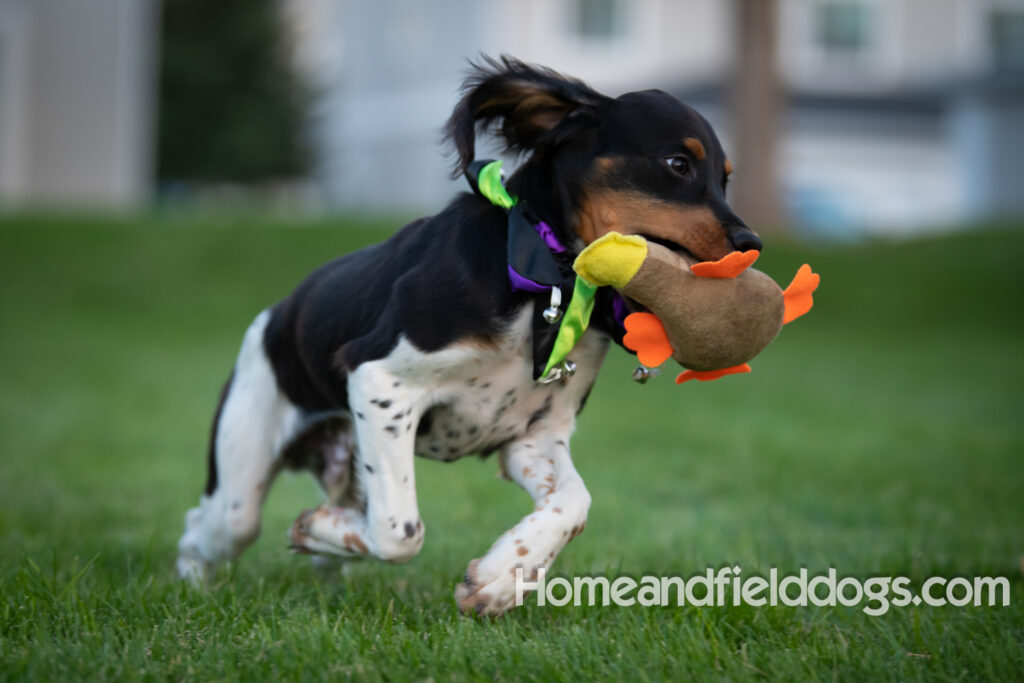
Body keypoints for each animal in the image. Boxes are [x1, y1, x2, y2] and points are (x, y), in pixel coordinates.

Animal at [176, 56, 757, 618]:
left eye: (726, 178)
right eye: (678, 164)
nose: (751, 242)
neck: (542, 279)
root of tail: (273, 315)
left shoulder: (534, 433)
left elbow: (574, 503)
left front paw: (503, 577)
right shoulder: (380, 380)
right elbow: (400, 533)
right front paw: (316, 528)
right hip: (240, 478)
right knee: (203, 528)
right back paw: (195, 586)